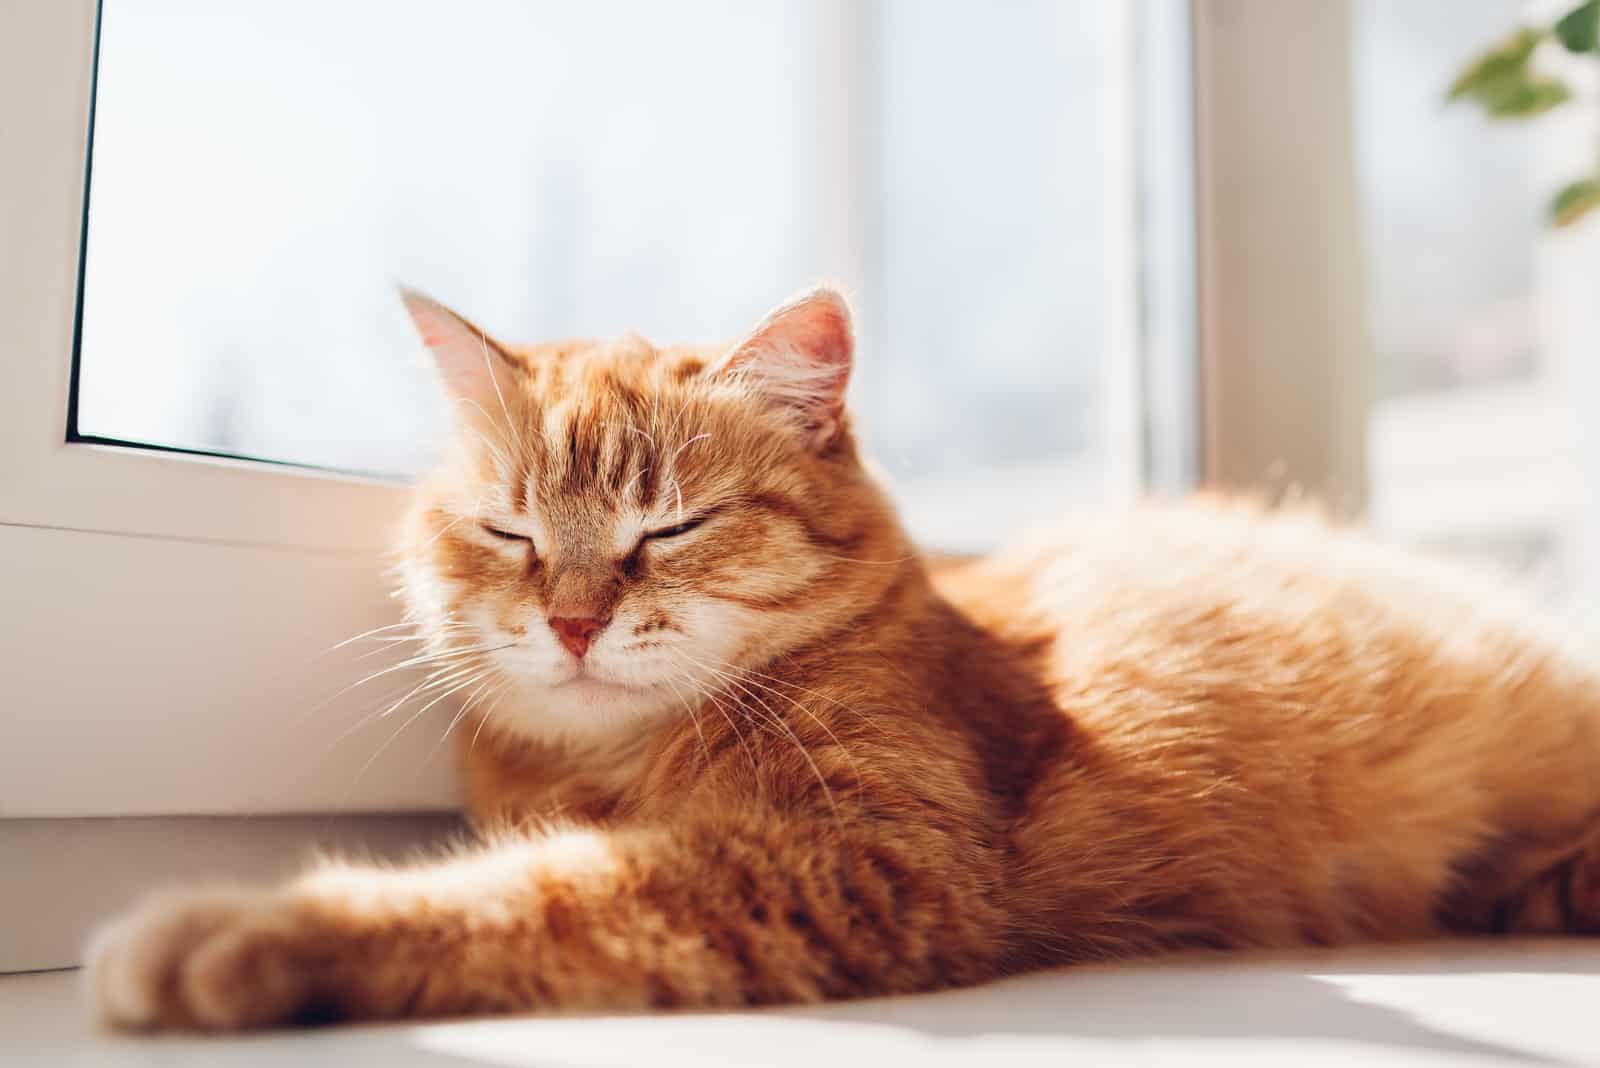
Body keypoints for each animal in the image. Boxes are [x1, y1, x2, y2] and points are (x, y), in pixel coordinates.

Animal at [87, 287, 1600, 1029]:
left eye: (667, 528)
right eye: (512, 532)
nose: (572, 619)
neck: (613, 763)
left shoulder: (861, 861)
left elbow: (533, 897)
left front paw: (249, 930)